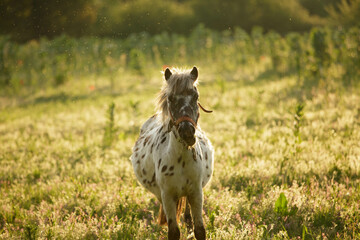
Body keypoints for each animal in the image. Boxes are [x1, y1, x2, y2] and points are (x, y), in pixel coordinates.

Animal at [131, 66, 214, 239]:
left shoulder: (196, 194)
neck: (181, 160)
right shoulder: (167, 196)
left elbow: (199, 229)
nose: (187, 132)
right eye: (170, 98)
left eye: (195, 96)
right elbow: (174, 231)